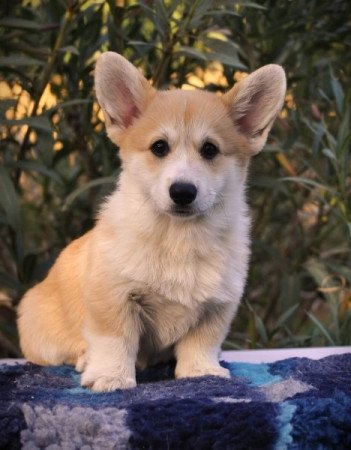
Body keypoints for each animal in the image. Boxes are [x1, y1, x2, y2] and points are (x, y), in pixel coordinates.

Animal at [17, 51, 286, 390]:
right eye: (159, 147)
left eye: (210, 149)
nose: (183, 192)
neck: (179, 237)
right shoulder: (113, 297)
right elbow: (115, 340)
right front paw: (110, 377)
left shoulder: (218, 306)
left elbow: (202, 342)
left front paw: (201, 372)